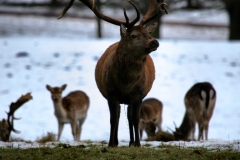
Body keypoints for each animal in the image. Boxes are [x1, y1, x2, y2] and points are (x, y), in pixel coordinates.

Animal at [57, 0, 168, 148]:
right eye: (133, 35)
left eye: (147, 33)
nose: (154, 41)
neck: (126, 84)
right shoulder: (111, 93)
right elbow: (113, 119)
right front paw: (110, 144)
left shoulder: (138, 93)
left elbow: (135, 118)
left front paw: (138, 144)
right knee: (120, 115)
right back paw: (117, 141)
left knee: (129, 116)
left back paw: (131, 142)